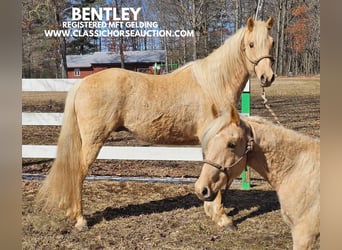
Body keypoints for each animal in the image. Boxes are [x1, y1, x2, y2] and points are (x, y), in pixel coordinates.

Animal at [36, 16, 276, 230]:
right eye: (251, 44)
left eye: (272, 43)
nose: (268, 77)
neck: (213, 84)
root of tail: (83, 81)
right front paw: (222, 218)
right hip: (93, 141)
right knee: (78, 174)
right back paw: (81, 221)